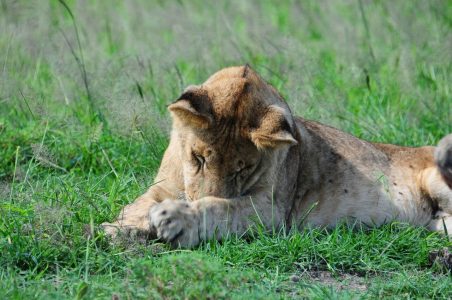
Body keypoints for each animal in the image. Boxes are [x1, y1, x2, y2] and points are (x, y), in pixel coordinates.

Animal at [102, 65, 452, 246]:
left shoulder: (271, 211)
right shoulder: (163, 186)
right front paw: (120, 228)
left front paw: (175, 220)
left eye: (241, 170)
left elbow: (217, 208)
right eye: (198, 158)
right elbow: (137, 204)